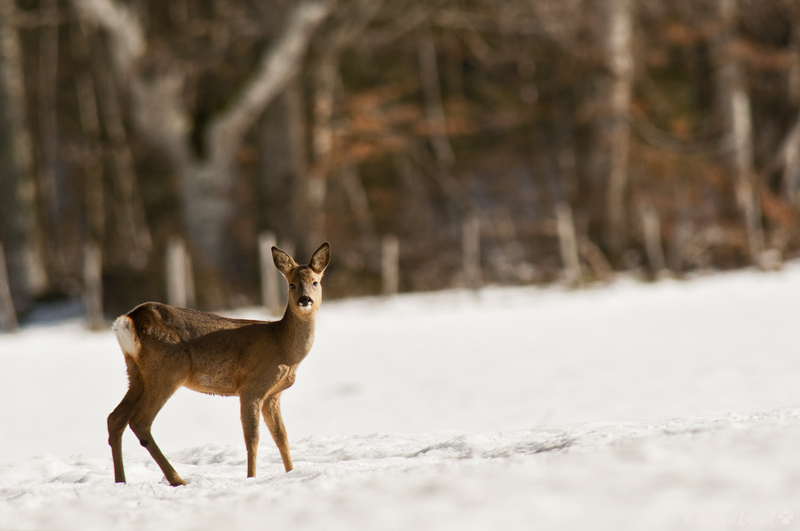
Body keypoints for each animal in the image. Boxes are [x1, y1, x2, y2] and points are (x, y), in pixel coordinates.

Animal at [107, 242, 332, 486]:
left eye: (315, 282)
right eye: (291, 284)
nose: (305, 299)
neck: (283, 347)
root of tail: (130, 320)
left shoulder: (273, 394)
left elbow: (281, 436)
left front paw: (291, 473)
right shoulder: (251, 387)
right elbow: (252, 437)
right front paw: (251, 478)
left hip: (137, 373)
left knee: (115, 418)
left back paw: (121, 481)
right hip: (168, 370)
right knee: (140, 421)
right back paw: (178, 479)